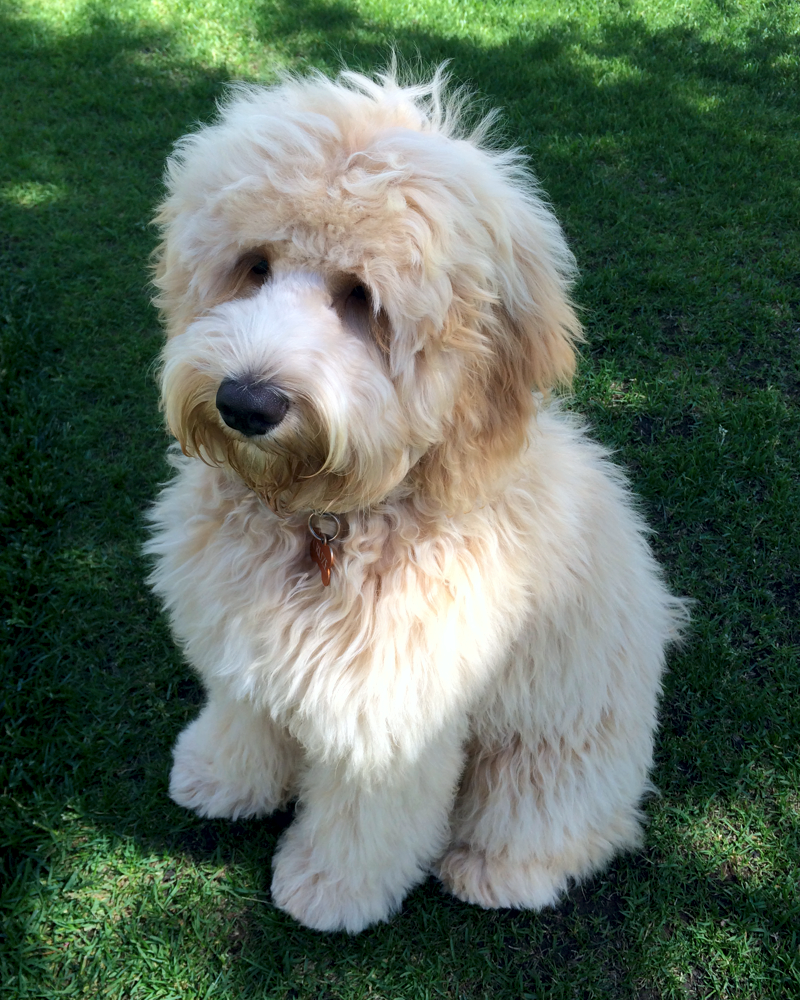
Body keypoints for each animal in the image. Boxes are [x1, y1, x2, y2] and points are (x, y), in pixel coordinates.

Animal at [145, 66, 688, 932]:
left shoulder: (394, 708)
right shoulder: (241, 644)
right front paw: (219, 779)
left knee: (563, 822)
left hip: (556, 747)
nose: (245, 404)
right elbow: (243, 713)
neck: (326, 519)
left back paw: (499, 872)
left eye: (361, 297)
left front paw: (332, 889)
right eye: (254, 265)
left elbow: (369, 816)